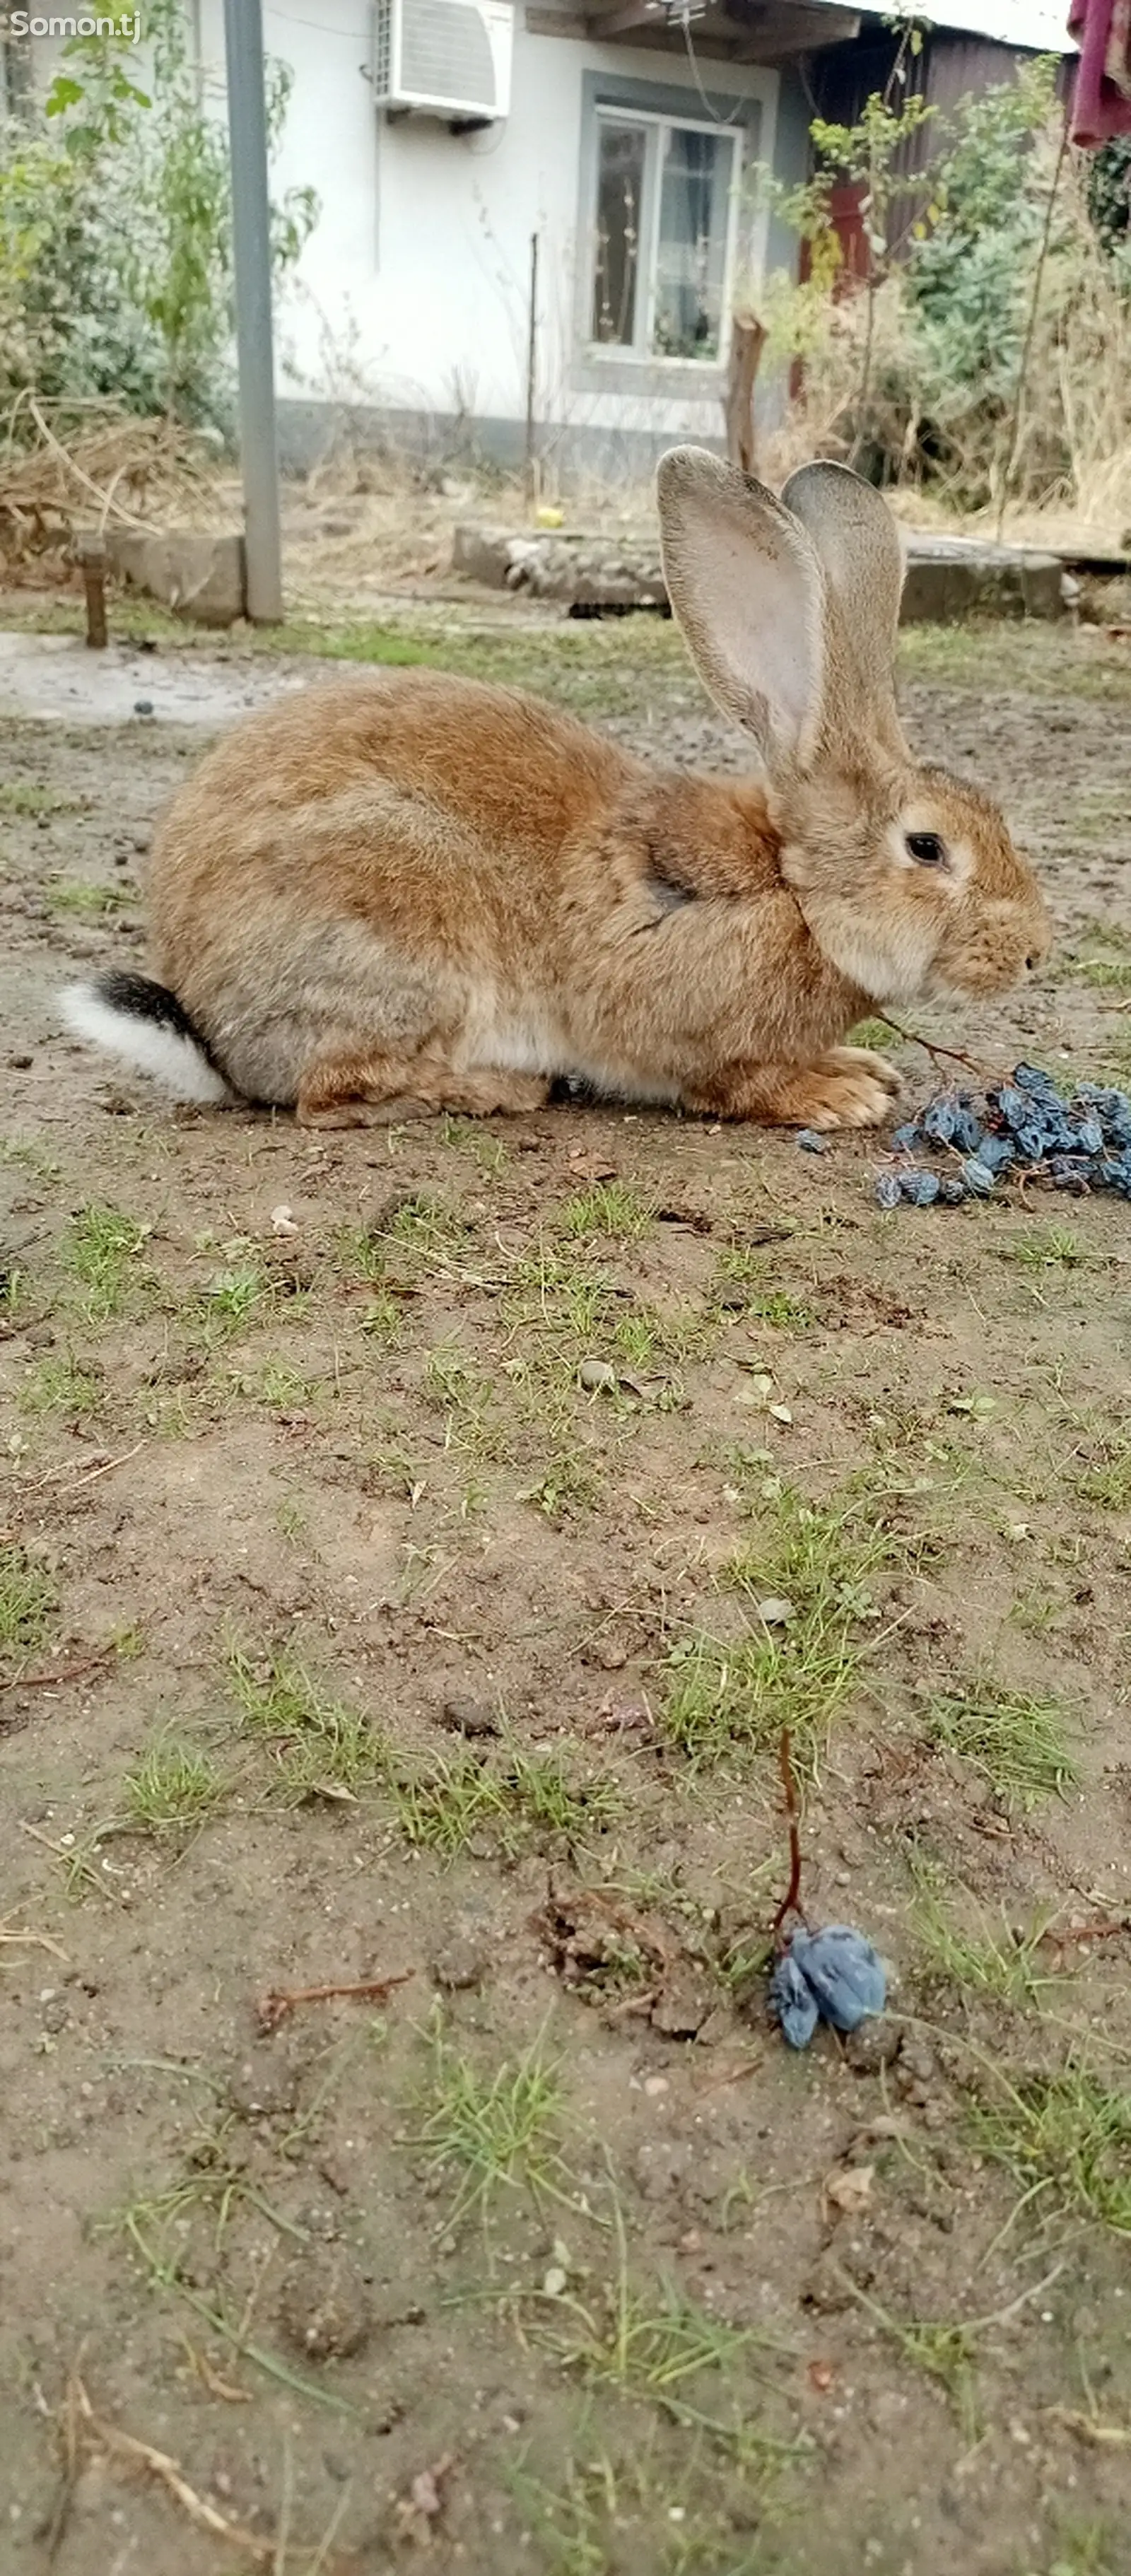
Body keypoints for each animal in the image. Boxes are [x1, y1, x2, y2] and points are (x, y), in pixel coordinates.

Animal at [64, 458, 1056, 1123]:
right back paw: (496, 1088)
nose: (1033, 955)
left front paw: (862, 1067)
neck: (798, 891)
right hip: (398, 928)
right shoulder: (687, 1024)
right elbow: (734, 1081)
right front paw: (841, 1092)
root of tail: (211, 1030)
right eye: (927, 847)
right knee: (330, 1091)